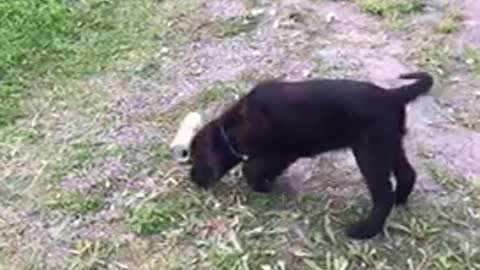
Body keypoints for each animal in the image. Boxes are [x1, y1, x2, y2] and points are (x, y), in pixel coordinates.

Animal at [188, 71, 436, 238]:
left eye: (196, 156)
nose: (193, 179)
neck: (237, 126)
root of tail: (391, 96)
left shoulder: (281, 152)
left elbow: (251, 168)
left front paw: (264, 187)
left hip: (370, 153)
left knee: (383, 195)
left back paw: (364, 230)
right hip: (389, 144)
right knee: (407, 174)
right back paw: (400, 201)